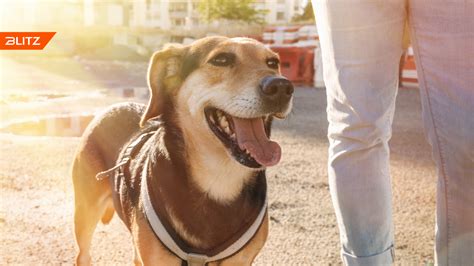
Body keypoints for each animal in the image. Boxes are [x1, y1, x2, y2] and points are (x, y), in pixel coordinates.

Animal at [72, 36, 294, 264]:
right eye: (221, 59)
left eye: (273, 63)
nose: (281, 86)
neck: (218, 179)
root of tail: (111, 107)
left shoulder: (240, 261)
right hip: (86, 213)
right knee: (83, 255)